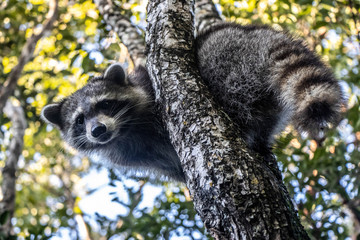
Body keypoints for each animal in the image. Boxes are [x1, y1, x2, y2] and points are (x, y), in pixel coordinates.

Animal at [40, 23, 344, 182]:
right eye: (80, 120)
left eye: (104, 105)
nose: (98, 130)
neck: (125, 131)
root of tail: (254, 33)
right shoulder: (136, 155)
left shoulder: (151, 93)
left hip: (229, 55)